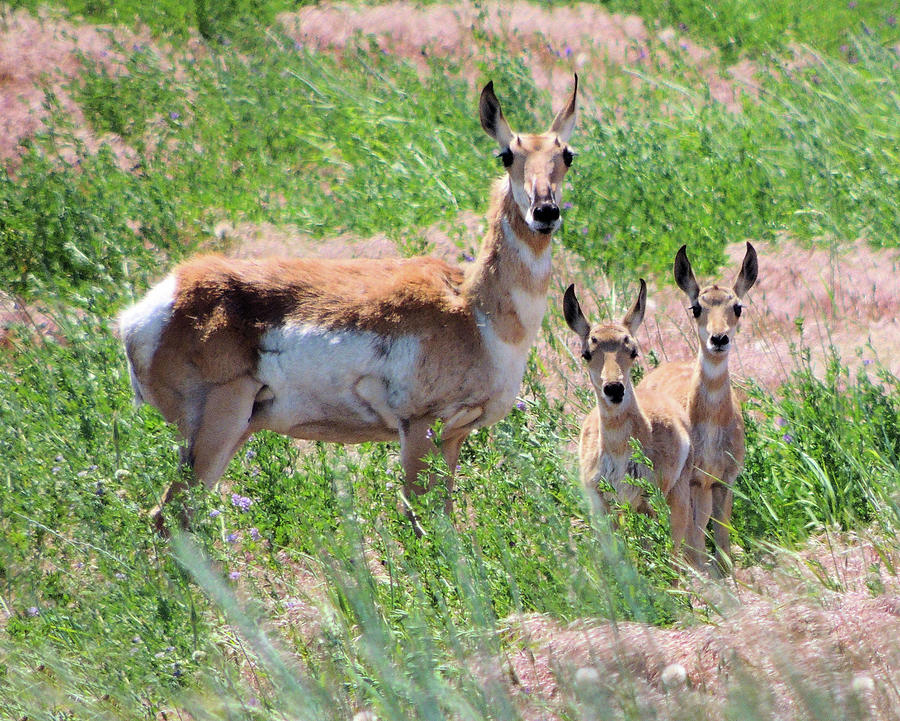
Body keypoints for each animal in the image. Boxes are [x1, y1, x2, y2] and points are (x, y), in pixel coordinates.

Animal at [119, 76, 580, 532]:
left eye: (567, 154)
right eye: (507, 155)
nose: (546, 210)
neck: (473, 309)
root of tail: (154, 303)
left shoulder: (454, 435)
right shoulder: (420, 427)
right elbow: (420, 526)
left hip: (238, 429)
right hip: (218, 421)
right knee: (169, 515)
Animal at [568, 282, 692, 552]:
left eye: (633, 350)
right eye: (586, 353)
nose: (614, 388)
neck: (619, 450)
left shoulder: (649, 502)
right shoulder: (602, 506)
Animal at [640, 242, 760, 568]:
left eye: (737, 307)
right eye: (697, 307)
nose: (718, 338)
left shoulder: (723, 481)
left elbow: (722, 543)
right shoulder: (695, 481)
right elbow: (695, 544)